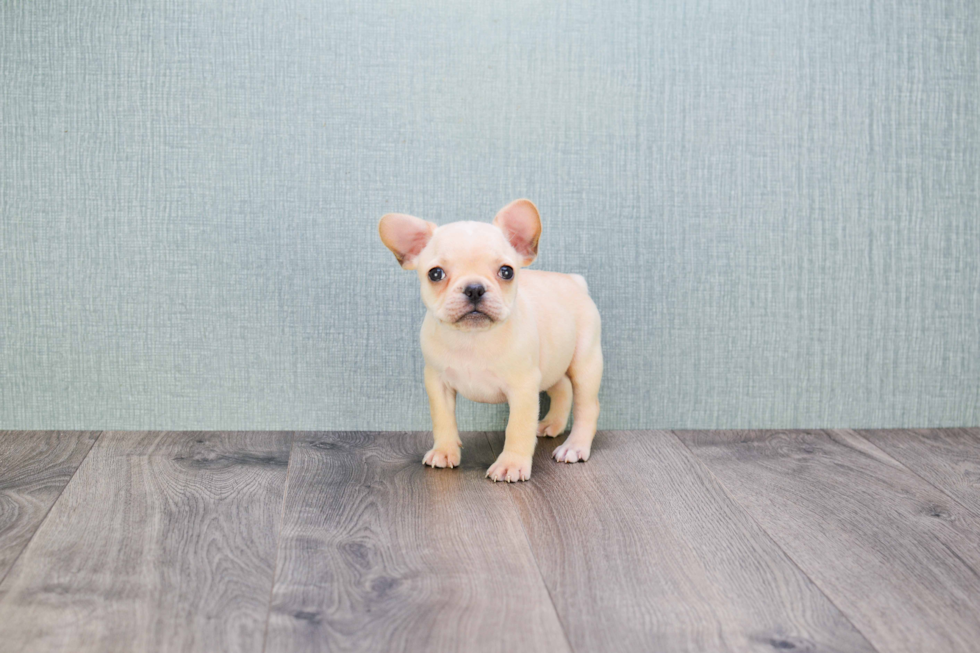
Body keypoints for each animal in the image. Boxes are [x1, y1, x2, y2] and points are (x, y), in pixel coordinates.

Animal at [378, 199, 600, 478]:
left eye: (506, 272)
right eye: (435, 274)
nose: (474, 288)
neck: (473, 338)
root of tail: (574, 281)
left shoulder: (523, 387)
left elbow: (517, 428)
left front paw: (511, 465)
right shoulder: (437, 383)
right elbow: (443, 419)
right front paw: (444, 451)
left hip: (585, 363)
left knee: (587, 406)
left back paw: (575, 446)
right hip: (553, 362)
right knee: (562, 388)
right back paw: (552, 424)